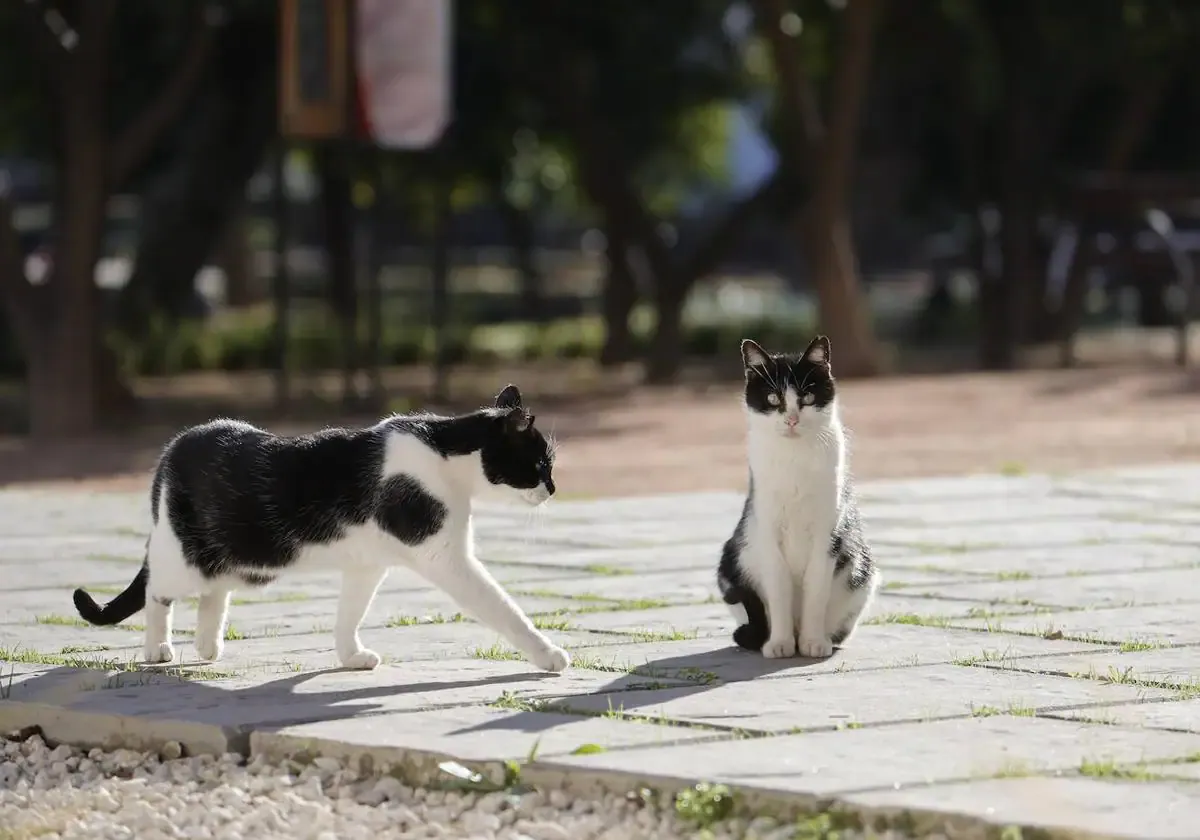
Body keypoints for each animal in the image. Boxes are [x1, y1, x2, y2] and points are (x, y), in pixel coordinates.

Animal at [73, 386, 571, 676]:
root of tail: (172, 448)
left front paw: (351, 656)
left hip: (249, 558)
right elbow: (504, 608)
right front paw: (547, 654)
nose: (553, 488)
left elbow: (350, 613)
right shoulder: (447, 559)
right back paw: (158, 648)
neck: (445, 456)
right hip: (184, 554)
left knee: (215, 591)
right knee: (158, 589)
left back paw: (208, 645)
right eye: (541, 464)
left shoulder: (367, 564)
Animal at [715, 333, 878, 657]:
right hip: (731, 561)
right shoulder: (766, 529)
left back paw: (818, 638)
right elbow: (778, 588)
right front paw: (779, 644)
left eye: (808, 398)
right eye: (773, 399)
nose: (791, 419)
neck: (795, 457)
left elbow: (816, 590)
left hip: (863, 572)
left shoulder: (828, 534)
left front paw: (813, 643)